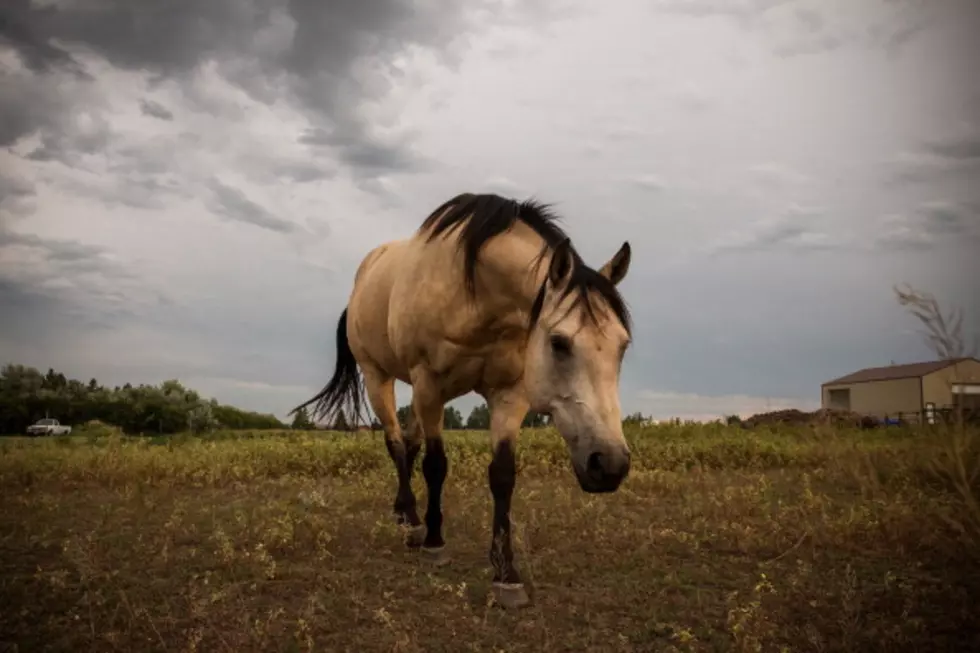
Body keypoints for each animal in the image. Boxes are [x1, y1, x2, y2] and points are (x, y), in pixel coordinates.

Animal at [290, 191, 636, 608]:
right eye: (559, 342)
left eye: (623, 346)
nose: (610, 464)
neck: (476, 295)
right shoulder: (428, 383)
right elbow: (435, 465)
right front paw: (435, 543)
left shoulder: (510, 393)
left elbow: (502, 474)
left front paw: (506, 574)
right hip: (379, 378)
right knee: (396, 445)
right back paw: (411, 522)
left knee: (409, 444)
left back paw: (406, 514)